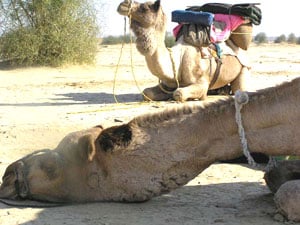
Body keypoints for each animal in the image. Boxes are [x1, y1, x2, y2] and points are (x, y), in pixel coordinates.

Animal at [117, 0, 251, 100]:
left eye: (144, 8)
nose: (123, 4)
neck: (178, 59)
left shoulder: (202, 82)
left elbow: (179, 93)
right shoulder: (167, 84)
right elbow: (146, 93)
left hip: (243, 67)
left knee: (239, 89)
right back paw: (222, 90)